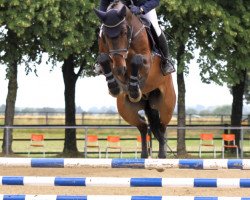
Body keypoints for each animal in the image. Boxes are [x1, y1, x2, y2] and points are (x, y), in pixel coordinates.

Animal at [94, 0, 176, 159]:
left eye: (124, 32)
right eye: (105, 36)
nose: (120, 69)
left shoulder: (147, 62)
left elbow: (136, 60)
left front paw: (134, 89)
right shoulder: (111, 58)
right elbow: (104, 58)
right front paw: (114, 87)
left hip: (166, 106)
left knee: (162, 127)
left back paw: (162, 155)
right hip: (126, 110)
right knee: (143, 127)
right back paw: (144, 155)